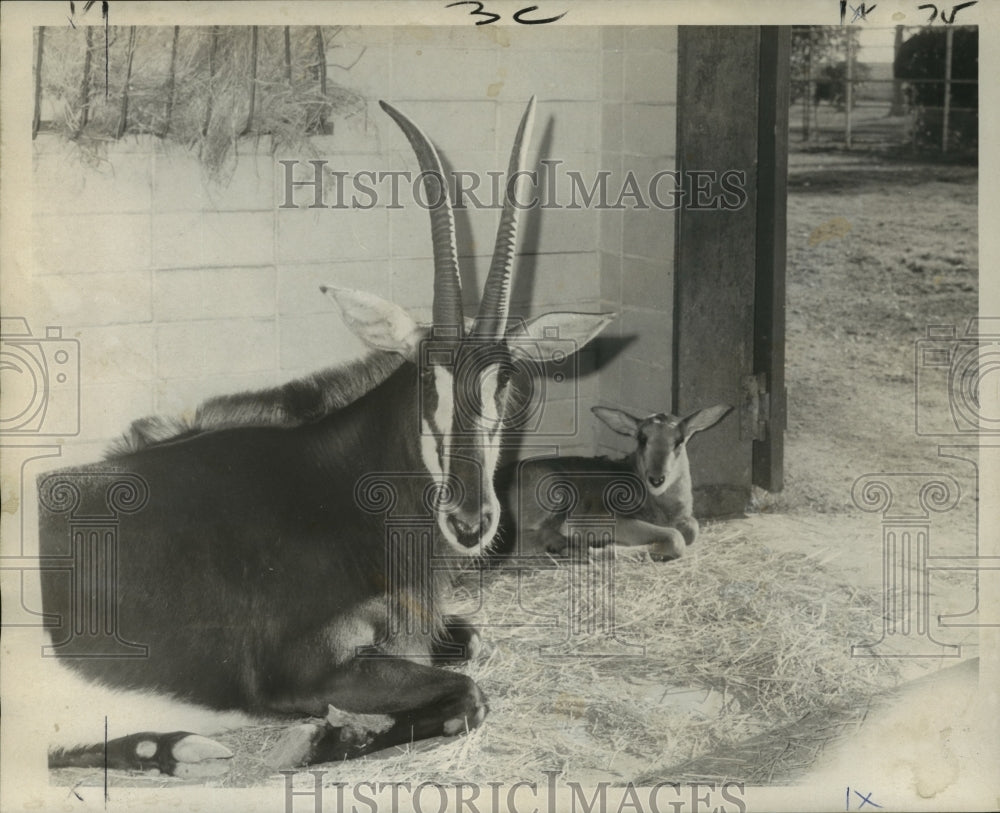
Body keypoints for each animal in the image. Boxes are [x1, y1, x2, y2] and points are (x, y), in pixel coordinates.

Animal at [37, 97, 613, 776]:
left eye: (508, 382)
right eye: (426, 378)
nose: (470, 522)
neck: (337, 489)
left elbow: (470, 644)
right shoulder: (303, 670)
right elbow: (467, 696)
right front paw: (316, 740)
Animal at [496, 405, 731, 561]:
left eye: (679, 441)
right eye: (642, 439)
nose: (656, 479)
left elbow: (691, 529)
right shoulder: (599, 519)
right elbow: (676, 538)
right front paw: (602, 549)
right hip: (553, 494)